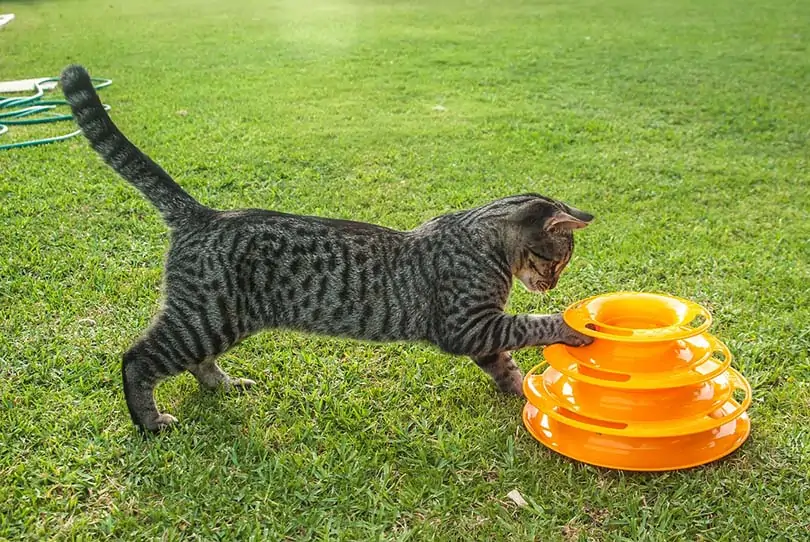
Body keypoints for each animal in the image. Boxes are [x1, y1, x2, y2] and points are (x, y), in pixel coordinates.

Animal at [60, 66, 592, 436]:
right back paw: (149, 422)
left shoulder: (480, 334)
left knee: (196, 362)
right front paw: (570, 328)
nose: (553, 283)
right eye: (557, 260)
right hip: (205, 317)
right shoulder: (468, 325)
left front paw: (524, 392)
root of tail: (204, 214)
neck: (482, 241)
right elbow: (529, 327)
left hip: (217, 322)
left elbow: (506, 363)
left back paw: (224, 386)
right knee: (137, 358)